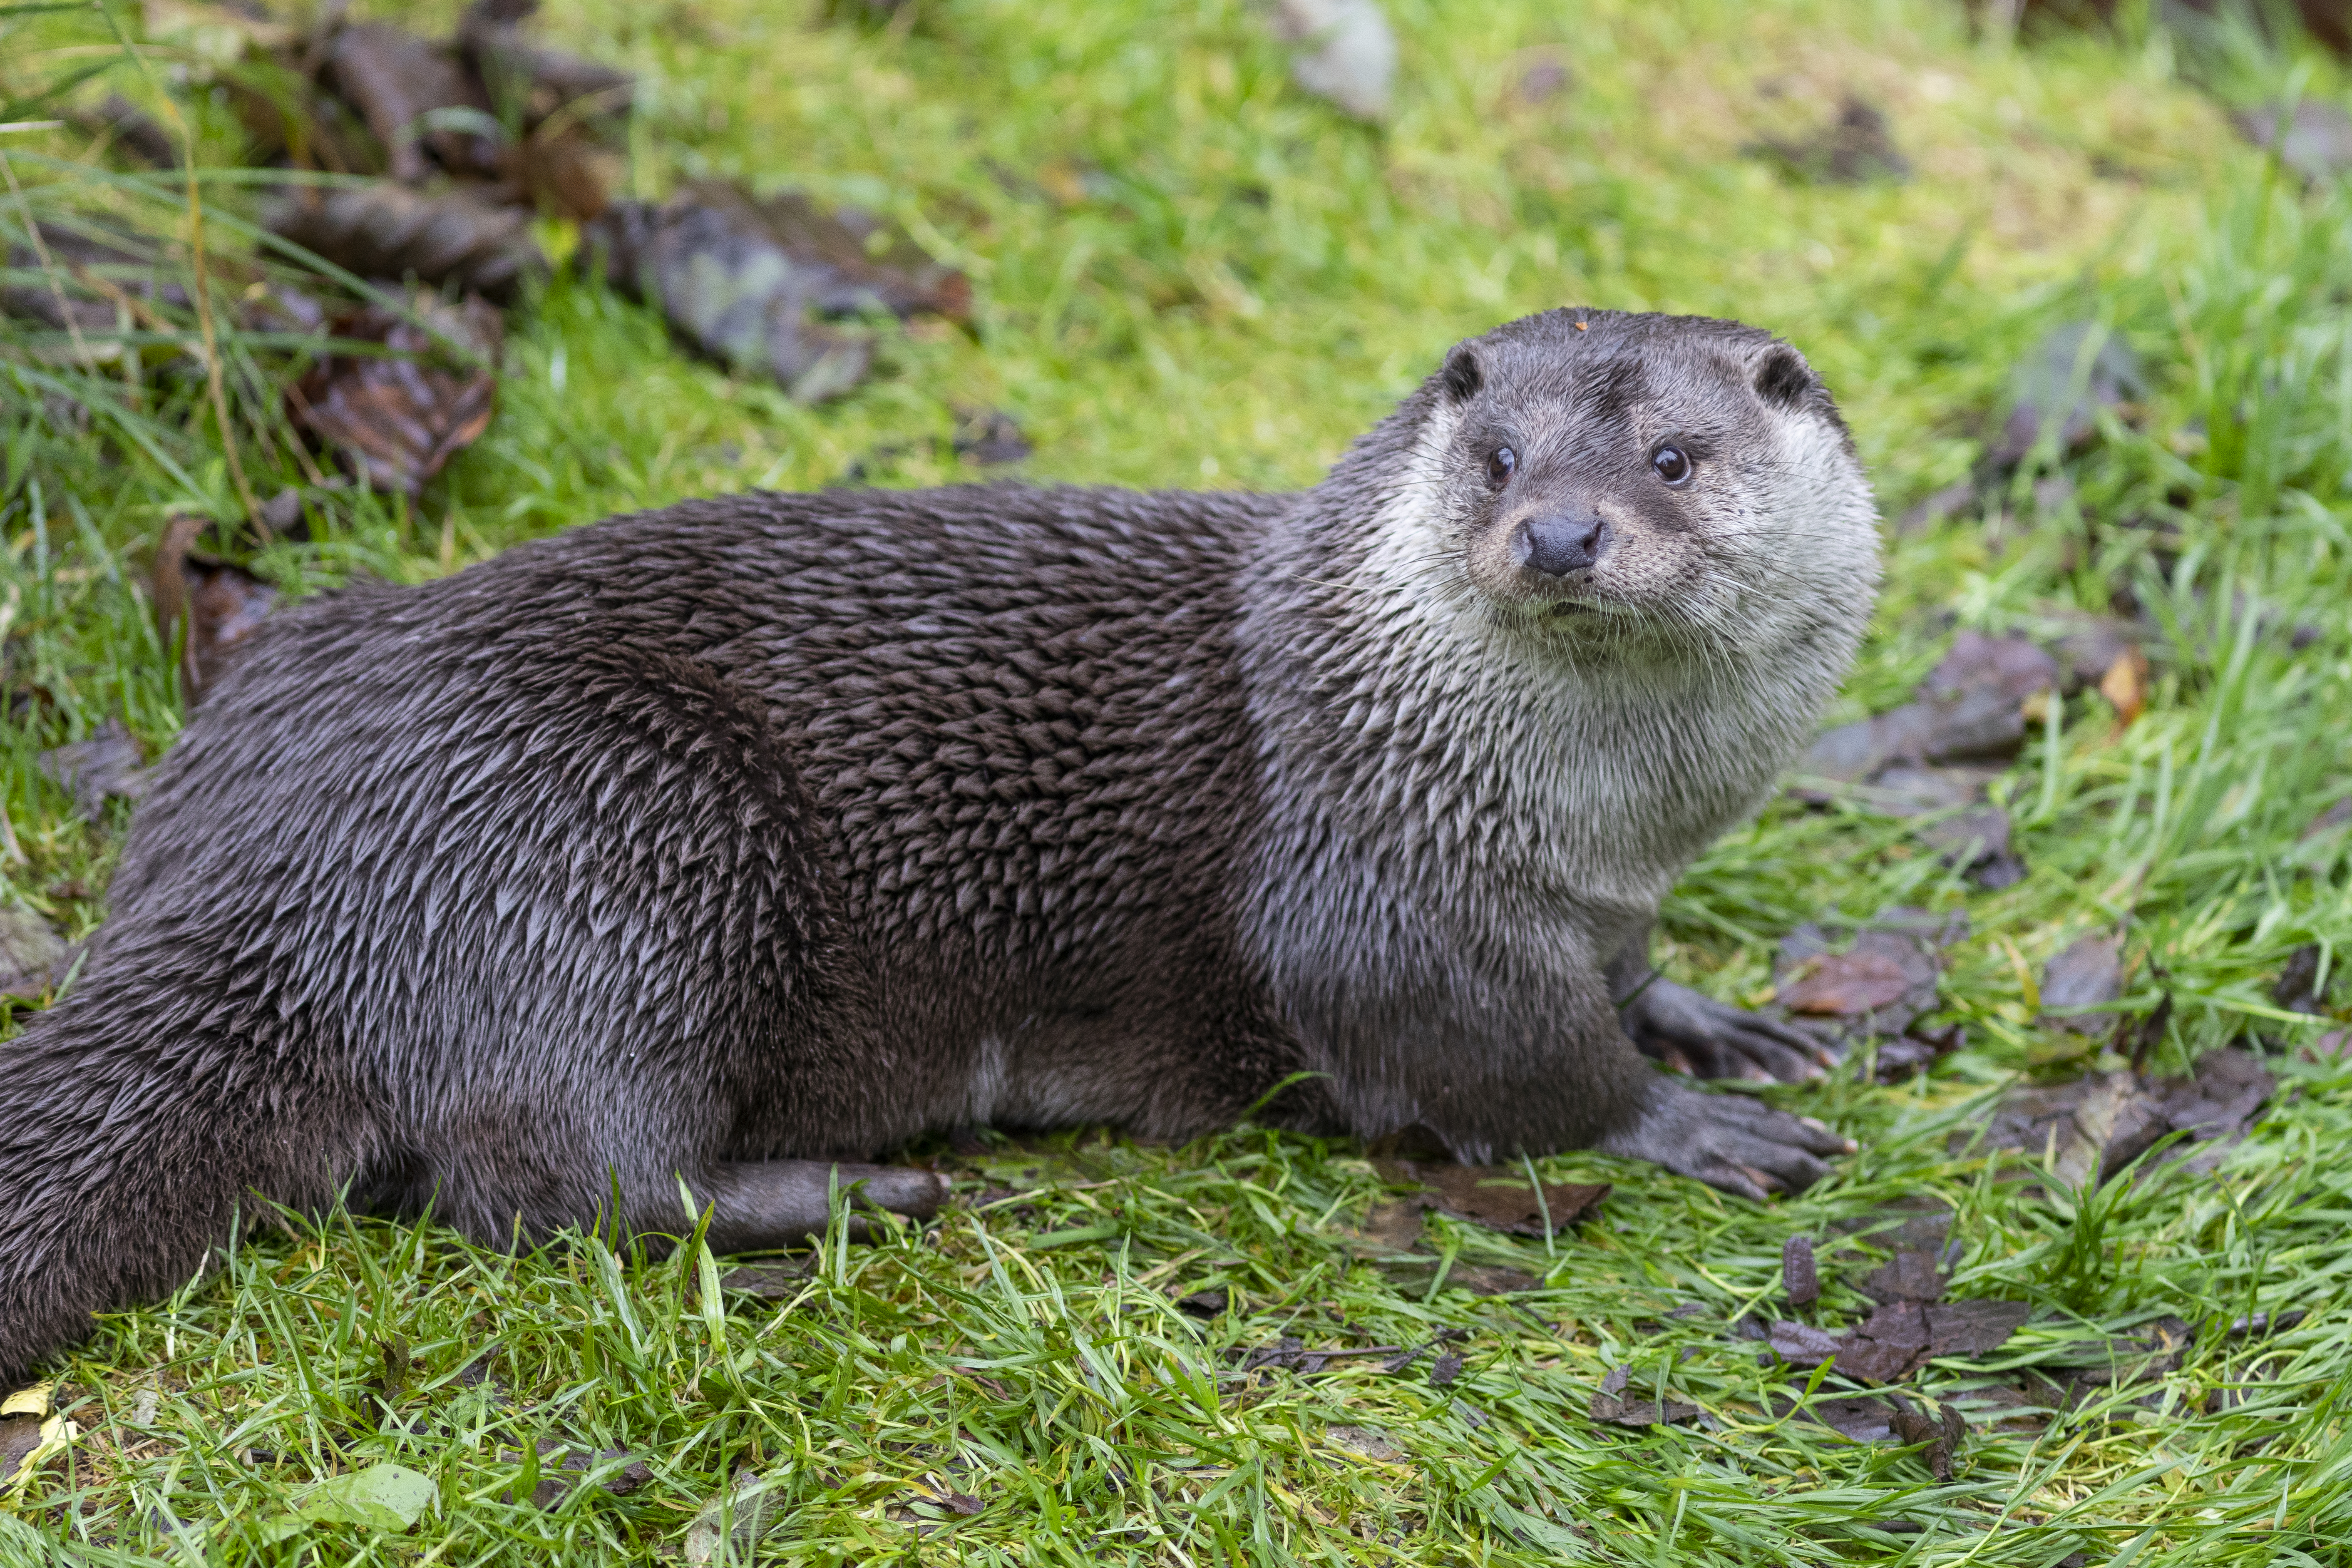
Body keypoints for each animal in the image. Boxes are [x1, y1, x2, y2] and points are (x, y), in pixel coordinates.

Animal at [0, 309, 1877, 1384]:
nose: (1556, 530)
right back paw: (852, 1189)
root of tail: (287, 856)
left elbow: (1623, 969)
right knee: (546, 1179)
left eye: (1672, 456)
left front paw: (1713, 1016)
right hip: (618, 833)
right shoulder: (1375, 880)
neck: (1592, 803)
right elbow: (1498, 1054)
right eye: (1493, 454)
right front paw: (1679, 1118)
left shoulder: (1601, 884)